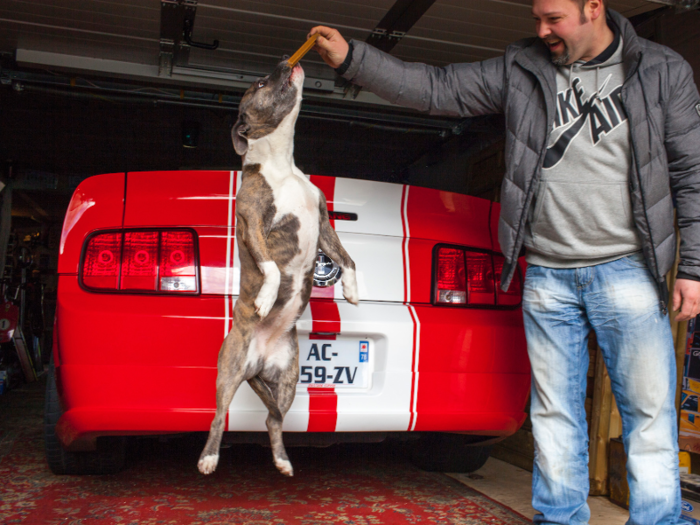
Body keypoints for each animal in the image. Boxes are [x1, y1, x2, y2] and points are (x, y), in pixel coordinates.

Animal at [198, 59, 358, 476]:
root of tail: (258, 362)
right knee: (218, 417)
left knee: (274, 419)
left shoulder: (323, 224)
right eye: (259, 83)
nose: (286, 61)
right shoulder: (253, 220)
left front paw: (351, 289)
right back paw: (208, 458)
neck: (282, 165)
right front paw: (268, 296)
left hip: (287, 379)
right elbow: (269, 265)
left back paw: (283, 460)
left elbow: (346, 257)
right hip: (229, 373)